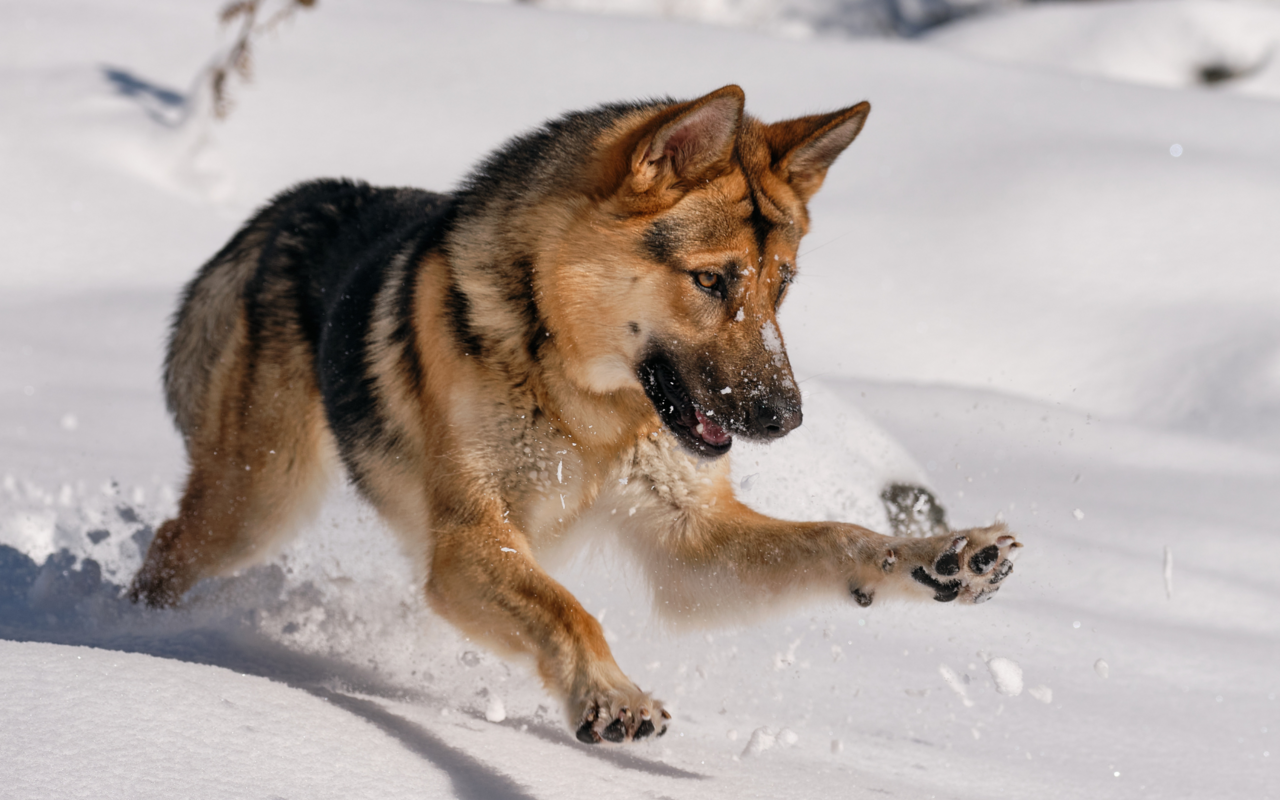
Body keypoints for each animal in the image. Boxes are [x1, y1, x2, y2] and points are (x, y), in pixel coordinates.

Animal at [132, 85, 1018, 742]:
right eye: (711, 280)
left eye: (783, 284)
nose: (785, 418)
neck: (584, 401)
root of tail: (294, 203)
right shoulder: (467, 543)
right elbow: (569, 609)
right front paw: (609, 694)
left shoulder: (690, 543)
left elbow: (841, 538)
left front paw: (946, 555)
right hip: (258, 505)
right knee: (167, 549)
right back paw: (138, 640)